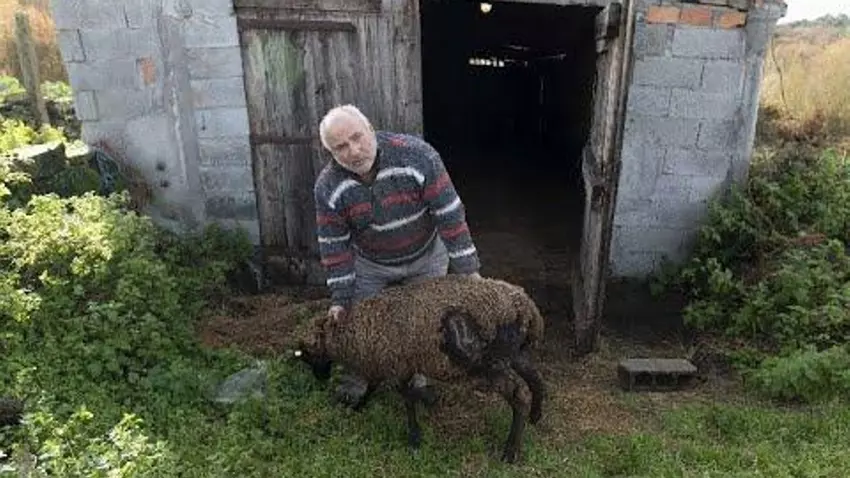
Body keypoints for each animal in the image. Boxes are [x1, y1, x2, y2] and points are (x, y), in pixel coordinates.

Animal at [291, 274, 546, 463]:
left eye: (306, 353)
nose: (320, 378)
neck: (358, 331)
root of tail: (525, 306)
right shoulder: (393, 364)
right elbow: (377, 386)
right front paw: (359, 406)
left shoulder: (397, 366)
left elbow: (406, 399)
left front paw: (414, 439)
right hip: (513, 352)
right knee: (536, 378)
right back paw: (535, 417)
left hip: (490, 362)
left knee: (520, 394)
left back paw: (510, 452)